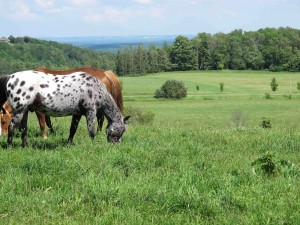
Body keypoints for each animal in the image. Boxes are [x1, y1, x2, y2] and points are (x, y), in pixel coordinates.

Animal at [0, 71, 128, 148]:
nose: (116, 145)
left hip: (24, 111)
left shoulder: (77, 114)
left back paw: (25, 146)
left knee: (23, 129)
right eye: (122, 130)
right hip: (19, 111)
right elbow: (91, 130)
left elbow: (73, 129)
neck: (94, 88)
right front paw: (93, 145)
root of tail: (10, 77)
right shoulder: (90, 111)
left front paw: (69, 144)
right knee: (12, 127)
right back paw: (10, 146)